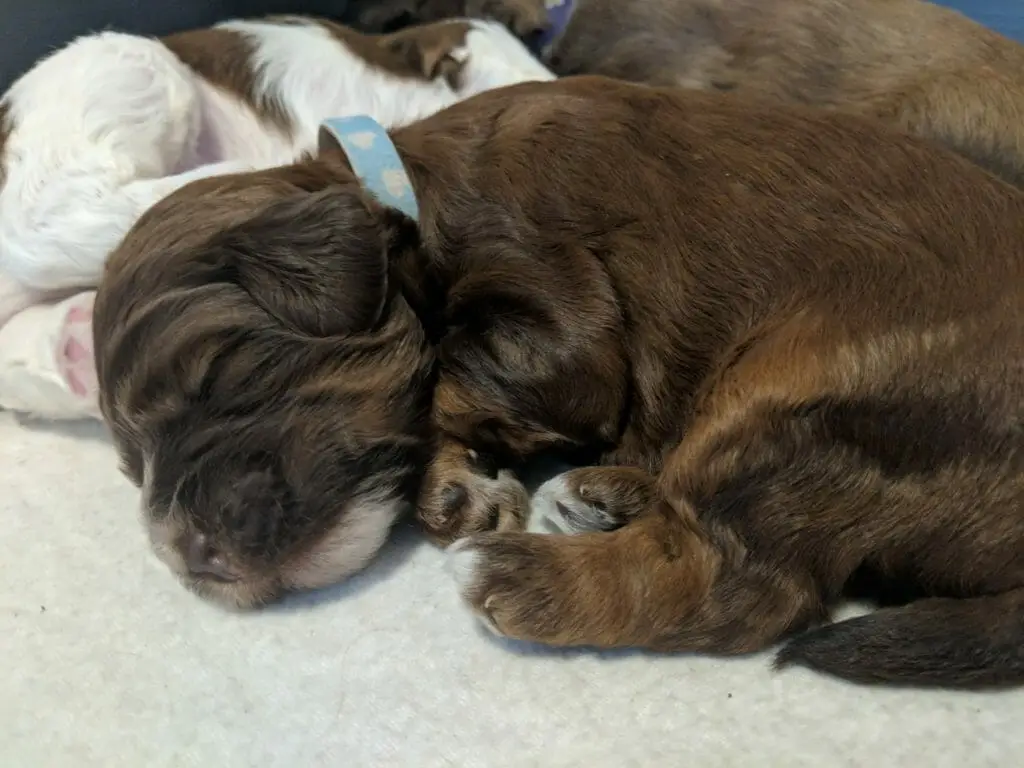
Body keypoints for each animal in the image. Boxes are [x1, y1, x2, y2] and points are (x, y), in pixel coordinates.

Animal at [90, 76, 1024, 692]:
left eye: (219, 374)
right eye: (129, 468)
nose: (185, 556)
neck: (408, 190)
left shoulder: (558, 309)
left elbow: (453, 373)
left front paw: (453, 480)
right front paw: (458, 487)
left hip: (807, 393)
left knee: (740, 588)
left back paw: (523, 578)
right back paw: (608, 492)